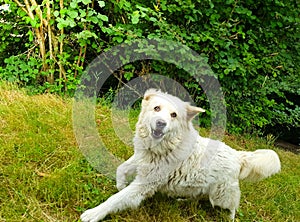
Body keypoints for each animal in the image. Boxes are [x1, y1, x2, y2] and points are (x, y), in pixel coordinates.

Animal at [80, 89, 282, 222]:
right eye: (156, 108)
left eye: (174, 115)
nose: (161, 123)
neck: (164, 147)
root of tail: (238, 155)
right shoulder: (141, 160)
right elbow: (121, 168)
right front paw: (120, 183)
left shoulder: (144, 184)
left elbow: (115, 200)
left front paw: (94, 213)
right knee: (197, 195)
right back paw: (181, 200)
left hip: (221, 195)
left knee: (232, 206)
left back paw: (230, 219)